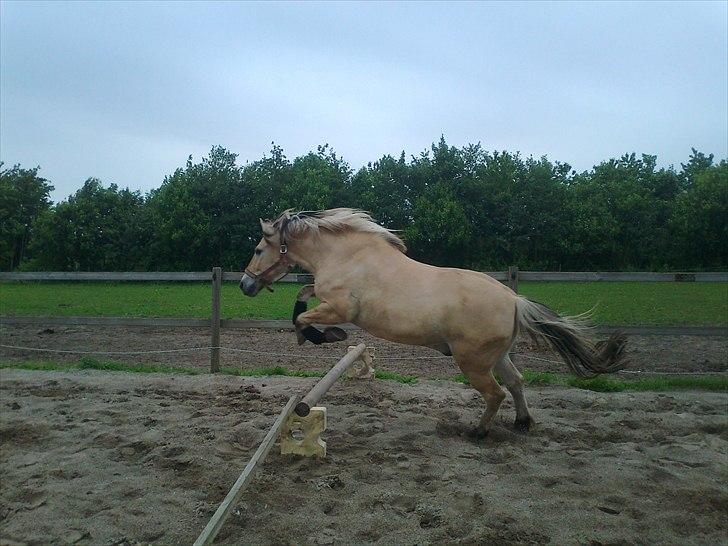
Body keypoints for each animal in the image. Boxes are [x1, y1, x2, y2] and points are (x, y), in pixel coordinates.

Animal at [242, 206, 628, 436]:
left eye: (259, 249)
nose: (246, 284)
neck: (348, 256)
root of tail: (514, 300)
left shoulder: (339, 307)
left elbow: (304, 317)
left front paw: (325, 336)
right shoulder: (324, 297)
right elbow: (302, 294)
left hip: (473, 362)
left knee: (496, 393)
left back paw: (477, 432)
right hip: (498, 356)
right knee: (517, 383)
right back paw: (522, 422)